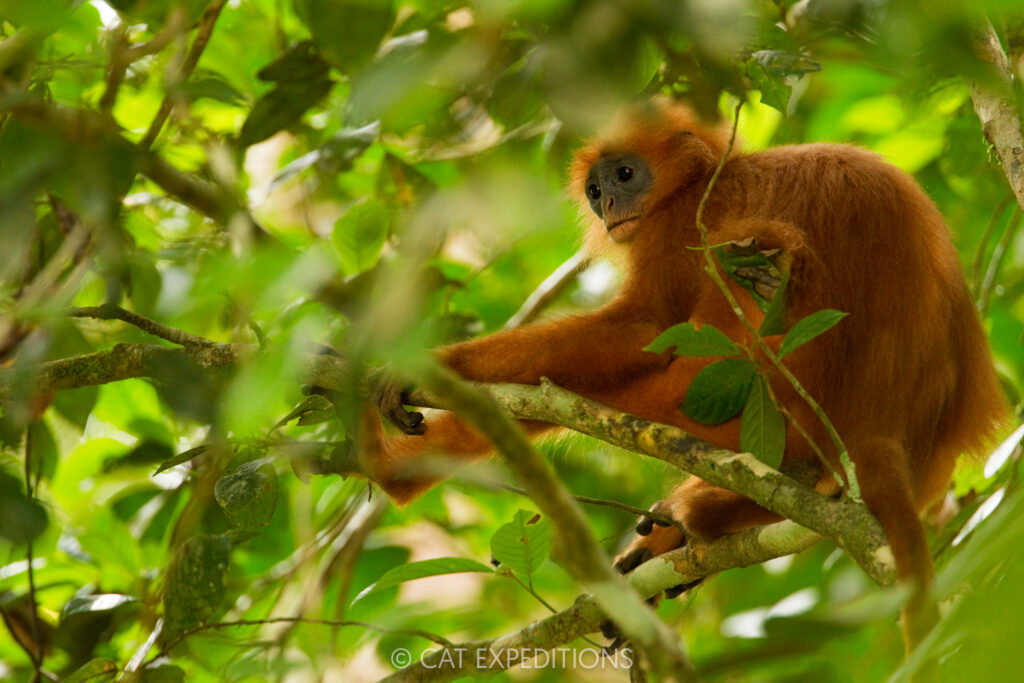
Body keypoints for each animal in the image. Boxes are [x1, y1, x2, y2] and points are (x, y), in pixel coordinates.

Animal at [359, 99, 1007, 646]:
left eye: (625, 175)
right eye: (594, 189)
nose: (608, 204)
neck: (705, 180)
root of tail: (883, 424)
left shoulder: (680, 233)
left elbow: (643, 330)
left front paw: (437, 367)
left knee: (749, 266)